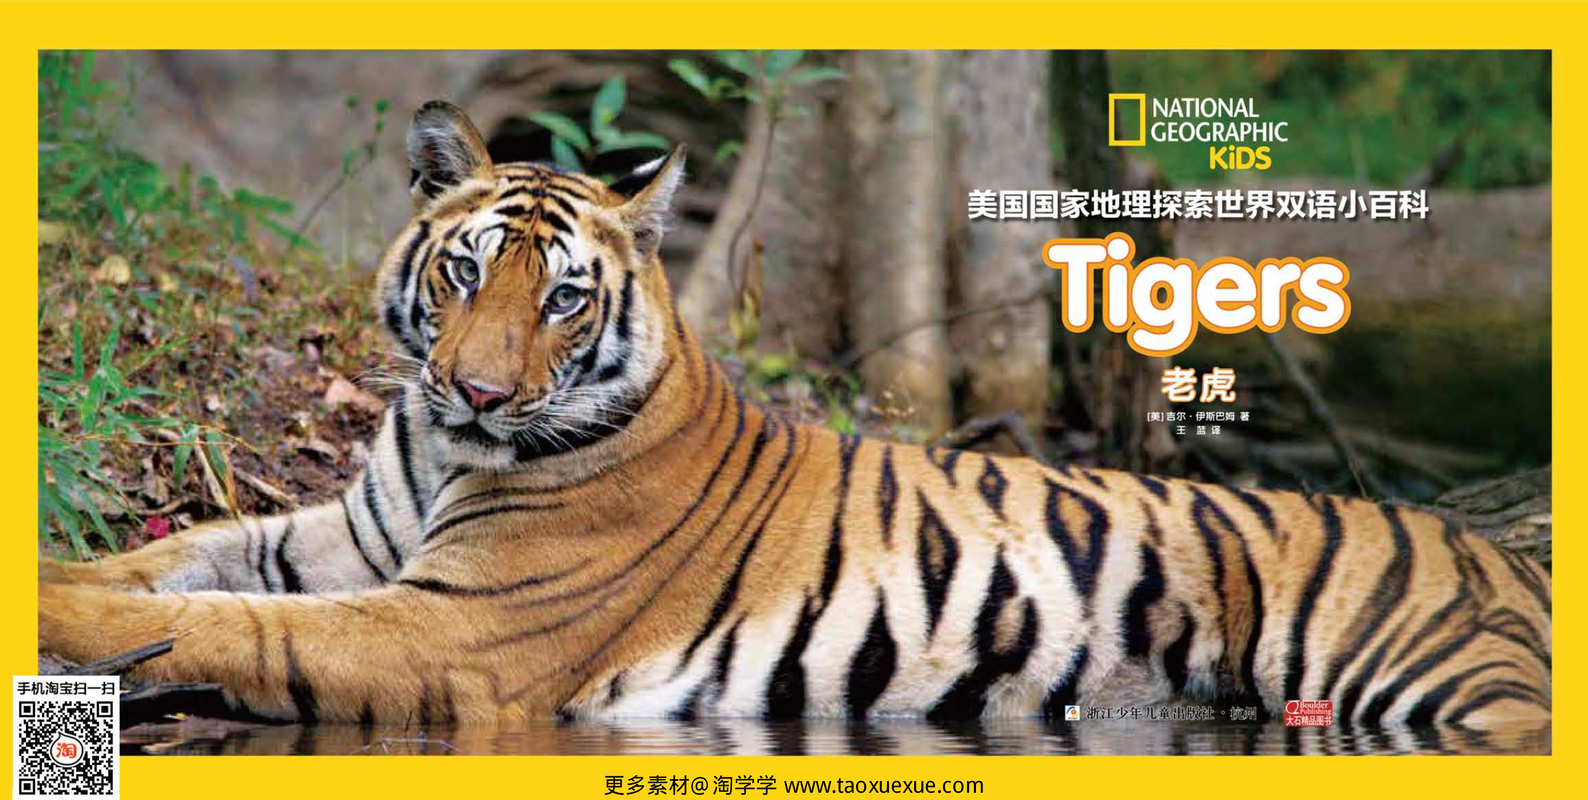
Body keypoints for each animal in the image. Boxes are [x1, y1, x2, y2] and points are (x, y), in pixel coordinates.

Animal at [39, 100, 1551, 734]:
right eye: (466, 272)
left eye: (563, 300)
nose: (476, 390)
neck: (443, 451)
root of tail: (1501, 553)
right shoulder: (339, 541)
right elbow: (170, 560)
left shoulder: (449, 629)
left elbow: (241, 628)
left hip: (1448, 680)